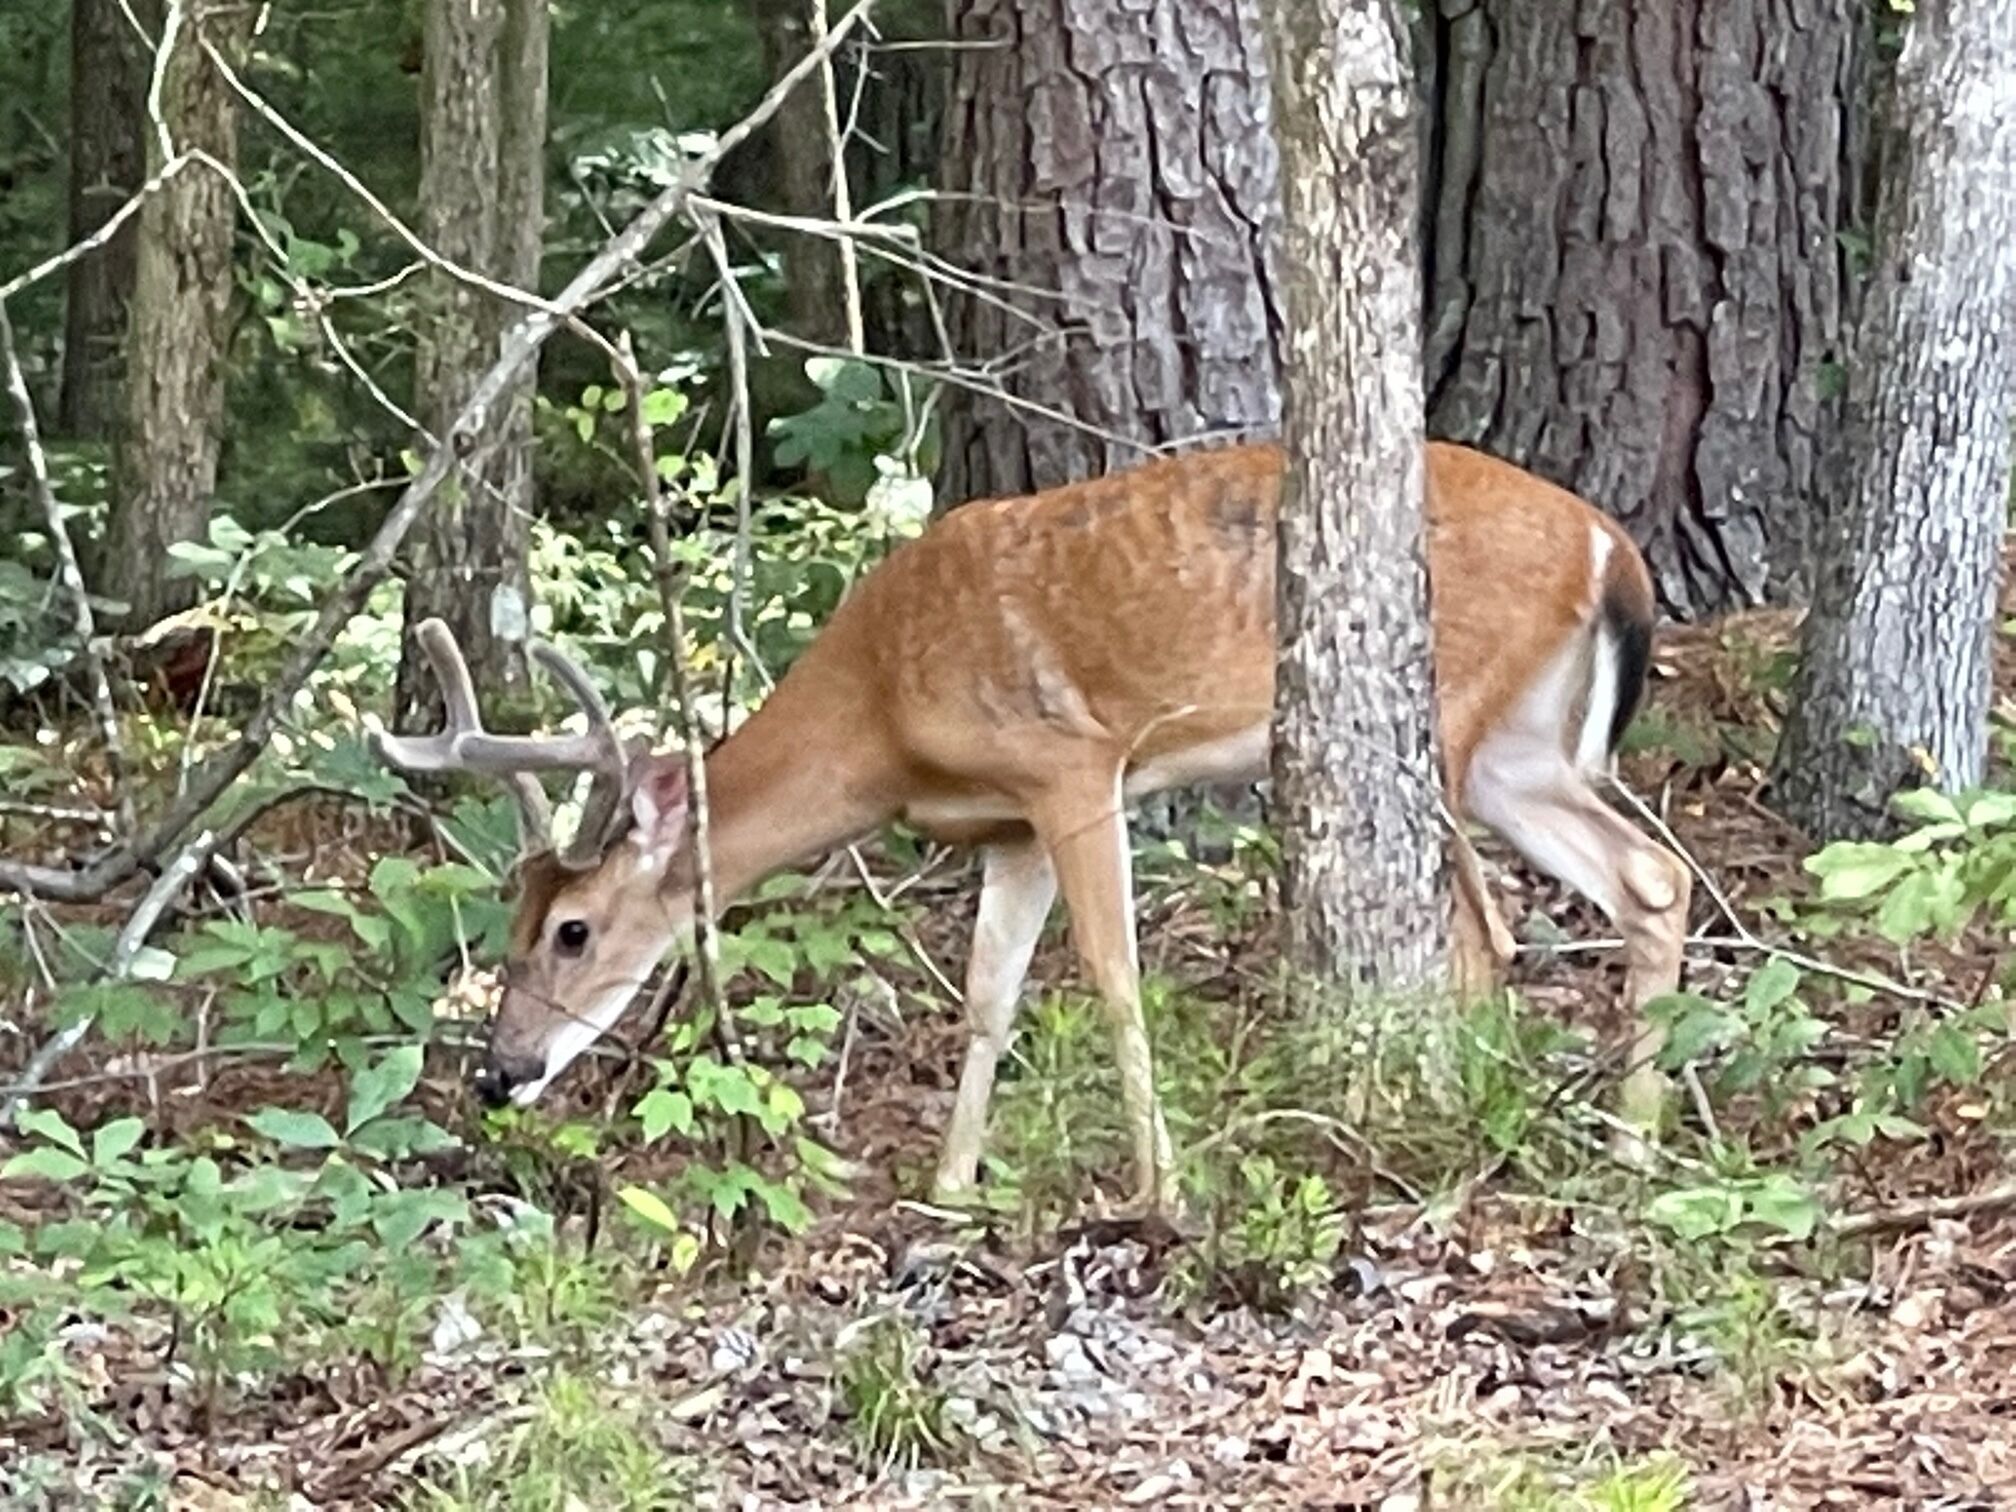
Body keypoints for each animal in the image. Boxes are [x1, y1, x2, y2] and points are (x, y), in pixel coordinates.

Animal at [370, 440, 1692, 1221]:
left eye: (574, 930)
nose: (498, 1073)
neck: (880, 713)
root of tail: (1612, 550)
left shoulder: (1073, 763)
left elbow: (1110, 974)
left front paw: (1162, 1191)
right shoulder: (1001, 825)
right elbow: (988, 994)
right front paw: (951, 1190)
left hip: (1449, 723)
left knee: (1488, 931)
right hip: (1523, 750)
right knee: (1651, 877)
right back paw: (1628, 1148)